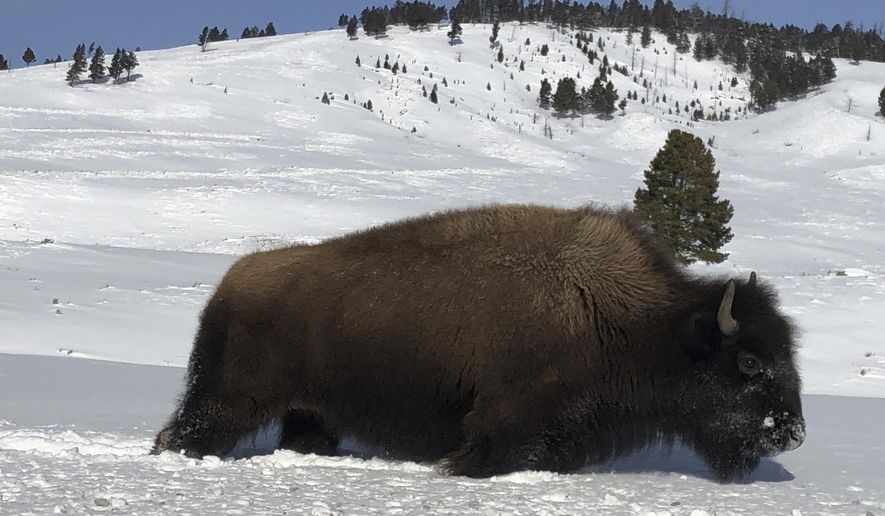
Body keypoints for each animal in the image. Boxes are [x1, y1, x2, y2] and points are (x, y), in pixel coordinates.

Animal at [152, 204, 804, 480]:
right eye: (750, 363)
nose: (793, 434)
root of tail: (232, 282)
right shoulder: (505, 419)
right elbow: (484, 456)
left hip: (310, 413)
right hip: (229, 401)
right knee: (181, 434)